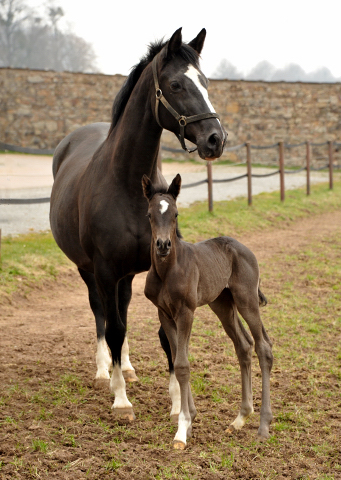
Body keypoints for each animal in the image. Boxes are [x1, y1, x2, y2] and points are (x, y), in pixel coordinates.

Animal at [142, 173, 272, 450]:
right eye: (149, 214)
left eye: (176, 213)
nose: (162, 245)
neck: (168, 269)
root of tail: (244, 249)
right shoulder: (165, 314)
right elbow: (178, 358)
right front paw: (189, 420)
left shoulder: (186, 312)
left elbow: (181, 364)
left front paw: (182, 430)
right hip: (222, 304)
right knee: (243, 346)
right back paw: (239, 419)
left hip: (246, 300)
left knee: (263, 347)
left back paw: (263, 425)